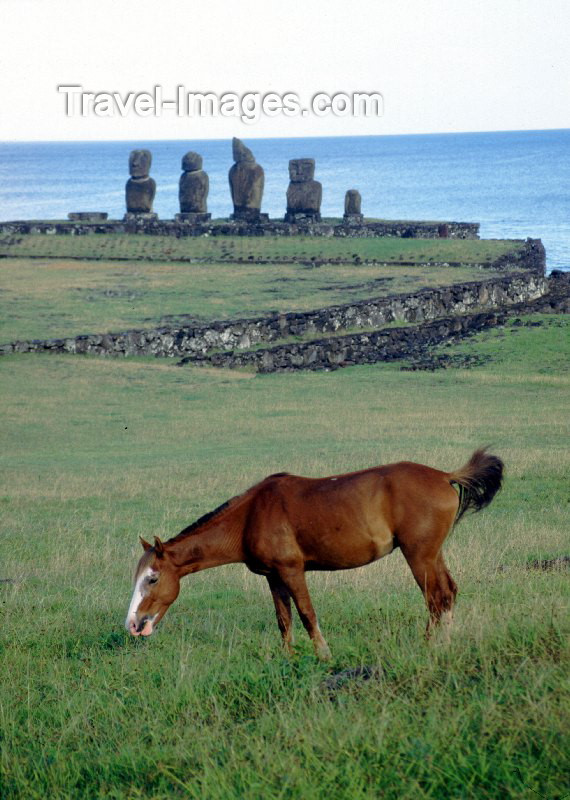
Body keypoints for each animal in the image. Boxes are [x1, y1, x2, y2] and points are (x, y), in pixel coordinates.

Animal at [125, 446, 502, 660]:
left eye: (153, 579)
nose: (133, 624)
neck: (251, 516)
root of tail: (444, 476)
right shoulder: (273, 577)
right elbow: (284, 620)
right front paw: (288, 658)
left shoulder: (293, 571)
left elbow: (307, 615)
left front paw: (324, 656)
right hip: (432, 555)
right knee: (447, 593)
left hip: (419, 556)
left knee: (436, 598)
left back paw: (432, 647)